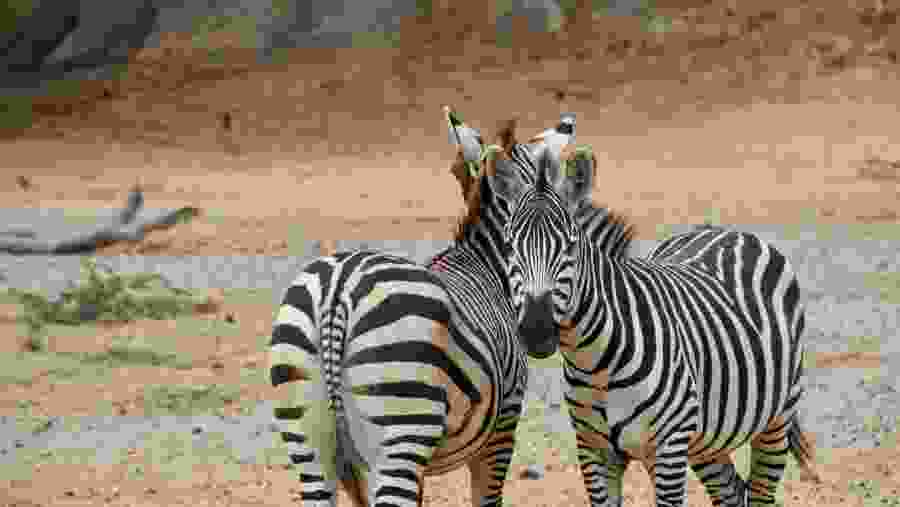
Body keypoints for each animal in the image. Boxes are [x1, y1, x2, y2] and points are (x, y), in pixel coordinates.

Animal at [267, 108, 588, 507]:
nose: (541, 335)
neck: (488, 266)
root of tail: (338, 289)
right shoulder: (502, 427)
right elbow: (487, 499)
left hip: (309, 437)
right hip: (402, 427)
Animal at [498, 158, 822, 507]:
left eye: (570, 246)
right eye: (509, 246)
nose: (536, 330)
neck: (596, 363)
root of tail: (728, 232)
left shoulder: (668, 448)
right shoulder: (593, 451)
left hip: (777, 418)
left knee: (761, 490)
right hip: (706, 440)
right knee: (731, 491)